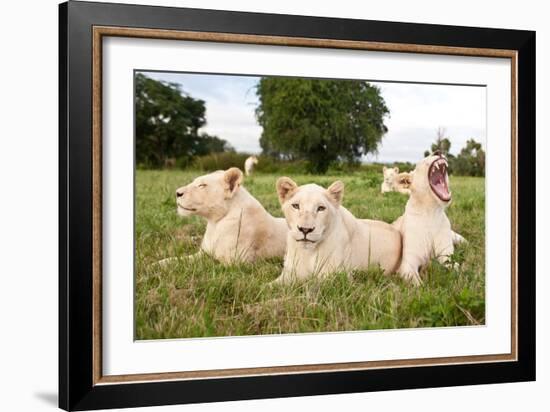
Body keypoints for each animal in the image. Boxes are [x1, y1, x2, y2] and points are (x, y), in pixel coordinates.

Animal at [160, 167, 288, 266]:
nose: (177, 193)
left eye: (202, 185)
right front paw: (158, 264)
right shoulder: (203, 253)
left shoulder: (236, 263)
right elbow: (178, 259)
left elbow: (209, 264)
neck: (214, 223)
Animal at [274, 177, 402, 284]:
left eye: (321, 208)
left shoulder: (337, 276)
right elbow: (271, 287)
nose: (305, 229)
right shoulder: (289, 273)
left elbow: (311, 284)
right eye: (296, 206)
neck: (309, 252)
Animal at [394, 153, 468, 284]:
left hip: (457, 238)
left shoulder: (446, 256)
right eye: (423, 161)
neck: (431, 212)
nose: (438, 151)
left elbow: (457, 268)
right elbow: (418, 283)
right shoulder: (407, 265)